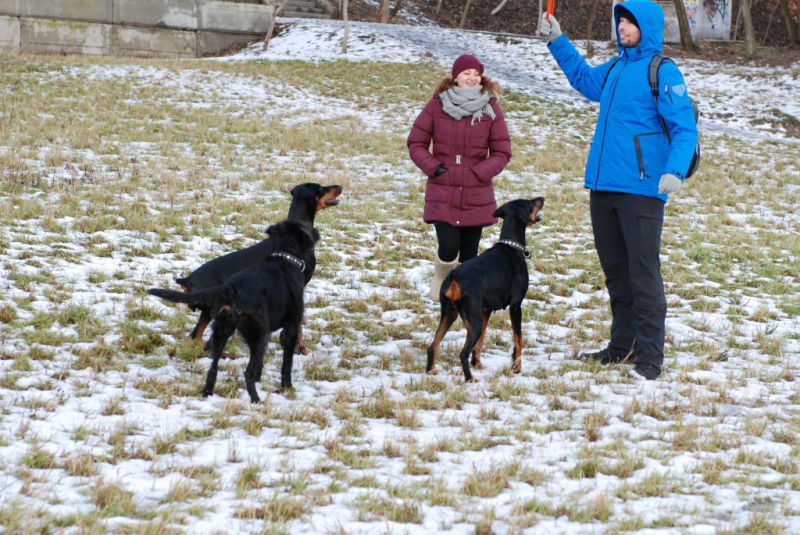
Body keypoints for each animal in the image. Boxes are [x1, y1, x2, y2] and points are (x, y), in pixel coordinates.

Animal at [149, 220, 317, 402]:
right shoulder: (291, 327)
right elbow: (287, 362)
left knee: (213, 368)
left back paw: (208, 394)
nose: (316, 232)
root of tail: (231, 289)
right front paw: (287, 386)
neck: (284, 258)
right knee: (247, 373)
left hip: (222, 330)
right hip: (258, 334)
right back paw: (256, 401)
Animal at [426, 197, 545, 382]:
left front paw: (477, 363)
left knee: (432, 346)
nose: (542, 198)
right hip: (472, 321)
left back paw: (431, 372)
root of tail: (454, 277)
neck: (512, 247)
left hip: (449, 313)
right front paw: (517, 367)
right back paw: (470, 379)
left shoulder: (486, 310)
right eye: (529, 203)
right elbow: (519, 339)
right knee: (462, 353)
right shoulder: (516, 306)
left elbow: (480, 342)